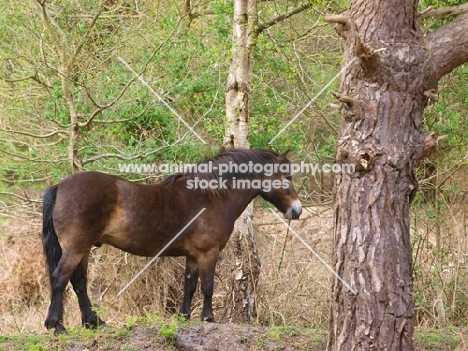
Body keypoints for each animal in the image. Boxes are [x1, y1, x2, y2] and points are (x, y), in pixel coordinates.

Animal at [42, 148, 302, 336]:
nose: (297, 210)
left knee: (79, 282)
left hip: (83, 249)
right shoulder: (209, 253)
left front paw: (184, 317)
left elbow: (190, 286)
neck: (211, 197)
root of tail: (60, 185)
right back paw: (57, 325)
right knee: (60, 279)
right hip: (76, 248)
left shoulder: (193, 256)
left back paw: (93, 322)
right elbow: (208, 287)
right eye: (287, 177)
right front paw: (208, 318)